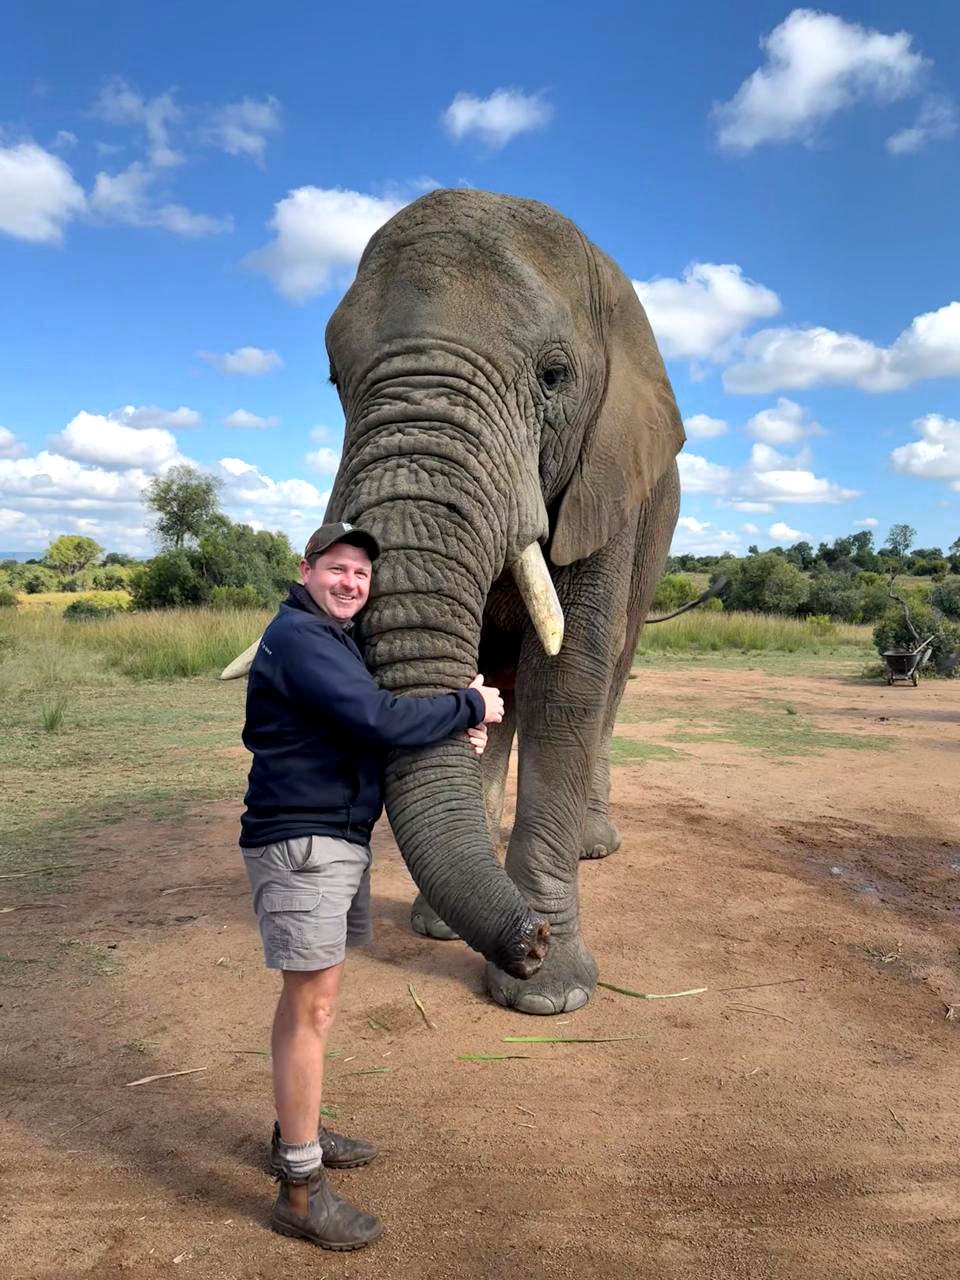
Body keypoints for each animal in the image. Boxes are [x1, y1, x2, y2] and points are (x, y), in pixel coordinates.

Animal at [227, 189, 686, 1014]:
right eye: (335, 379)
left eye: (554, 374)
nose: (530, 939)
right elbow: (480, 683)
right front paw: (468, 938)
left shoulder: (607, 485)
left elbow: (566, 683)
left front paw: (549, 996)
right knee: (502, 683)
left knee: (610, 676)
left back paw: (592, 847)